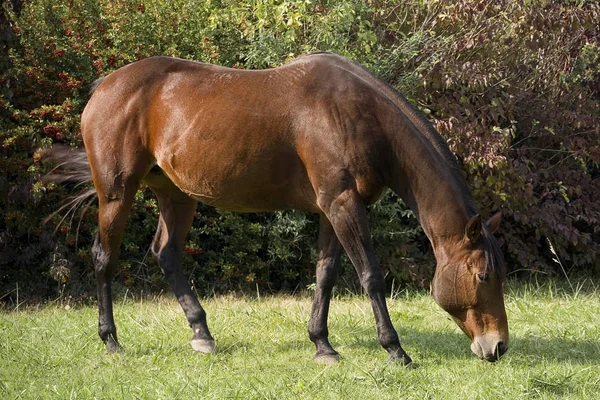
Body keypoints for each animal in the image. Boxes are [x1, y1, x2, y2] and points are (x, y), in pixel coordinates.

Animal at [44, 51, 508, 364]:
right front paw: (396, 350)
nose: (498, 346)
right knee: (104, 258)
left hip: (175, 194)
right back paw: (111, 340)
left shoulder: (333, 208)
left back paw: (202, 333)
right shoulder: (343, 204)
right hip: (117, 193)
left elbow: (325, 275)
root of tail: (105, 86)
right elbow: (370, 276)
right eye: (483, 275)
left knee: (167, 254)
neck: (357, 113)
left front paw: (322, 344)